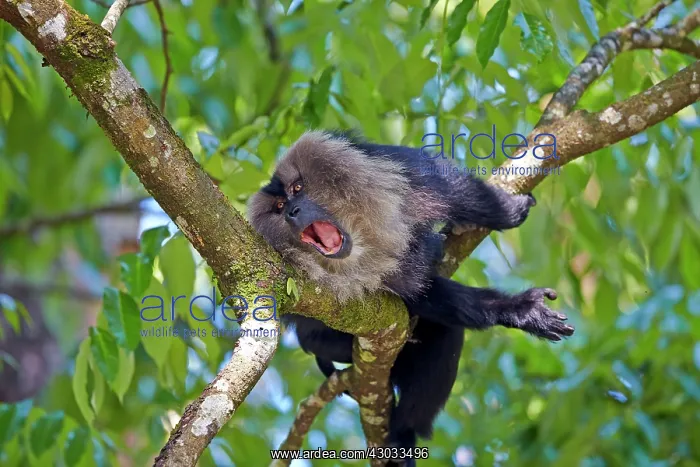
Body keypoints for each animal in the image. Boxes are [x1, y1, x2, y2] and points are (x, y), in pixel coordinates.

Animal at [247, 130, 574, 465]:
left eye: (297, 189)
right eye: (278, 206)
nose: (292, 211)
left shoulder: (395, 171)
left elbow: (450, 186)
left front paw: (508, 210)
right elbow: (417, 296)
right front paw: (521, 310)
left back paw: (404, 431)